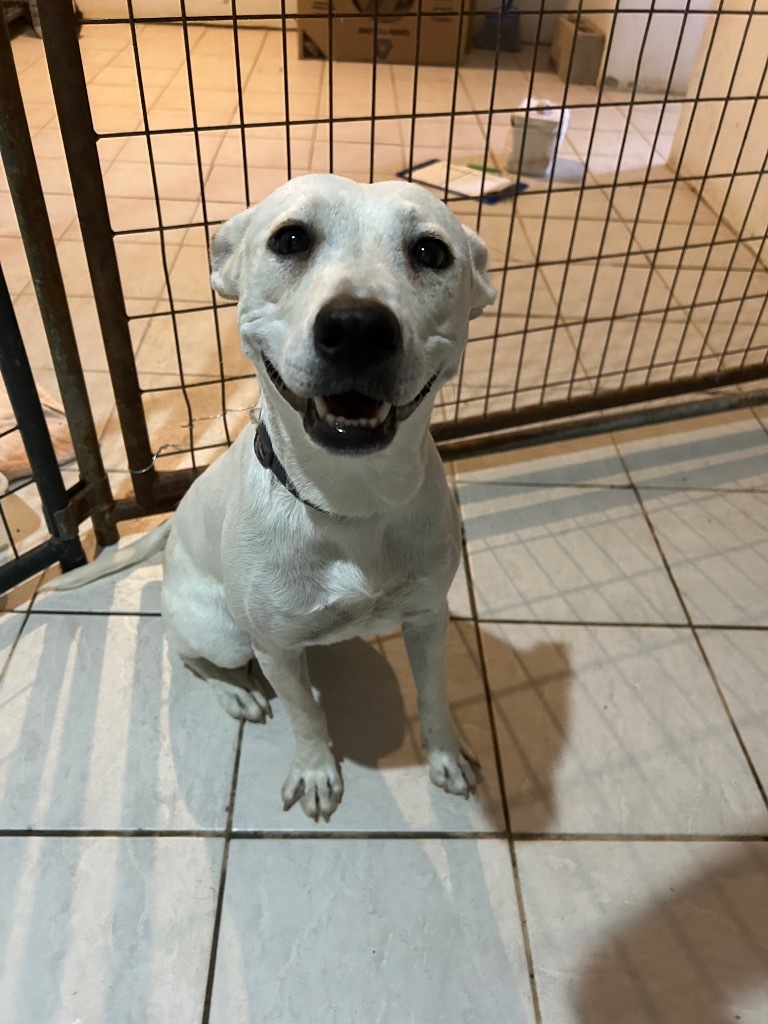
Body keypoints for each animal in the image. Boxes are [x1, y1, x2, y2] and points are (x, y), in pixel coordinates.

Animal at [51, 174, 495, 815]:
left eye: (431, 252)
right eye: (290, 239)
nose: (358, 327)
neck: (349, 502)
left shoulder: (427, 619)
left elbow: (434, 695)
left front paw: (445, 756)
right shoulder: (277, 649)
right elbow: (305, 714)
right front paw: (315, 770)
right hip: (223, 632)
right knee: (189, 654)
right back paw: (235, 693)